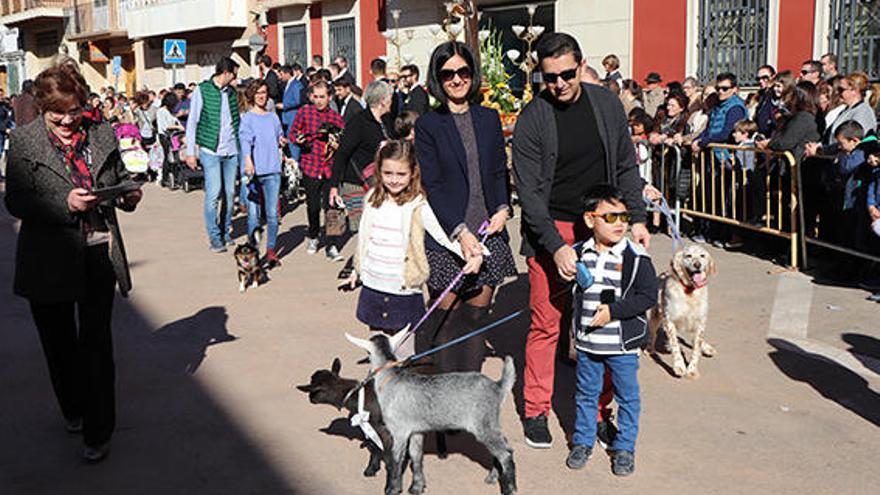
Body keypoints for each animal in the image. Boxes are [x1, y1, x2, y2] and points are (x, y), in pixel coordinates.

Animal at [348, 330, 520, 495]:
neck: (391, 378)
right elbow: (416, 456)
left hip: (483, 425)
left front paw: (392, 489)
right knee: (505, 446)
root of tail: (498, 387)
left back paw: (509, 489)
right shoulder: (415, 431)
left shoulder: (399, 431)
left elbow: (396, 458)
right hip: (490, 423)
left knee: (505, 454)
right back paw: (493, 477)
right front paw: (417, 487)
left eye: (367, 352)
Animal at [648, 244, 716, 380]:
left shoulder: (700, 323)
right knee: (653, 334)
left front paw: (692, 370)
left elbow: (696, 348)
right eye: (688, 256)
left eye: (702, 255)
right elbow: (675, 346)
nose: (697, 264)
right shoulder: (669, 321)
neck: (690, 292)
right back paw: (650, 348)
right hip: (655, 317)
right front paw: (679, 366)